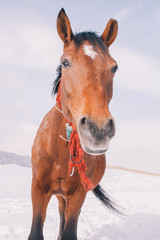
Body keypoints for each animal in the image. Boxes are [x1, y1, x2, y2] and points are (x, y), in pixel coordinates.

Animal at [28, 7, 119, 240]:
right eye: (65, 62)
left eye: (114, 68)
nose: (98, 129)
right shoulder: (38, 189)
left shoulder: (78, 193)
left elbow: (70, 231)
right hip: (60, 195)